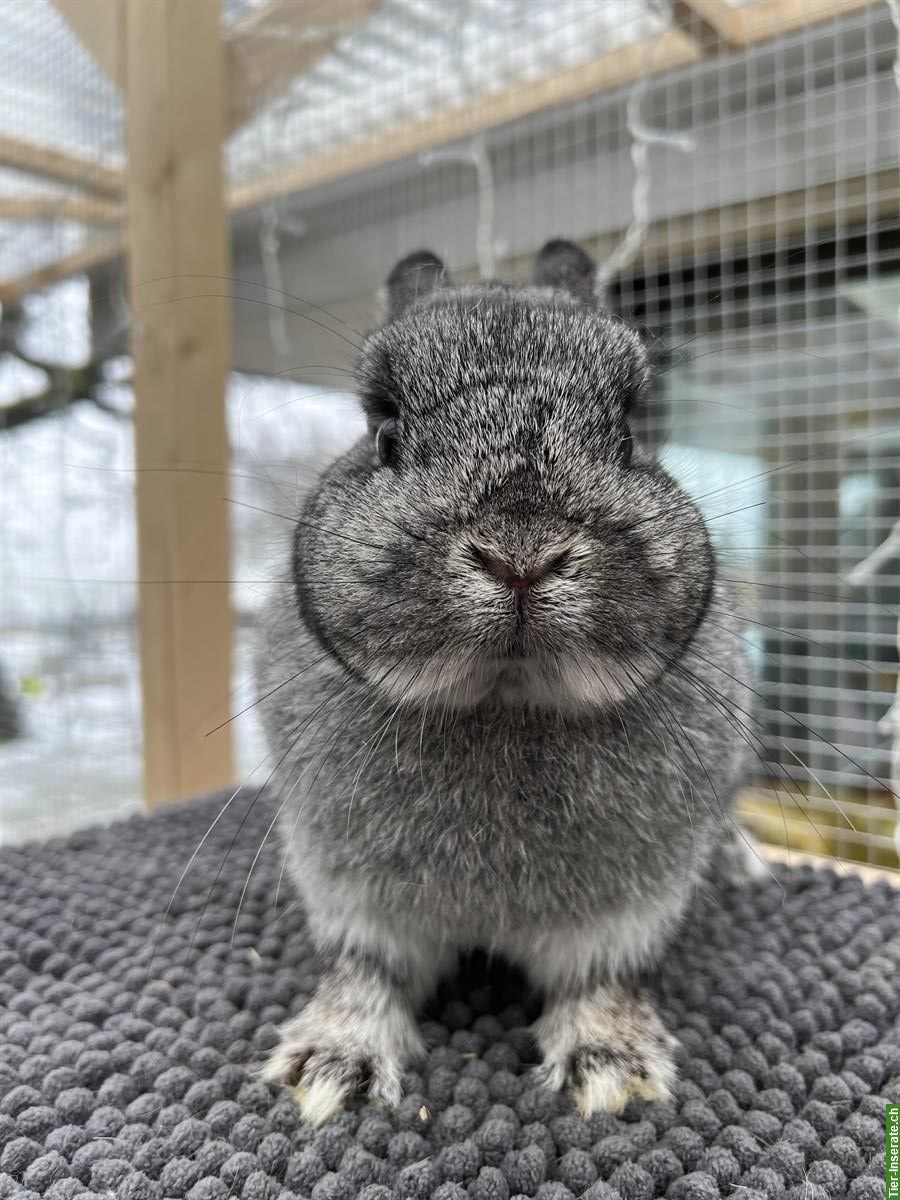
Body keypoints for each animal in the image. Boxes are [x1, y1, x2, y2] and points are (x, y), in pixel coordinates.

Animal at [254, 236, 763, 1123]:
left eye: (628, 437)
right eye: (385, 432)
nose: (520, 553)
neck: (507, 701)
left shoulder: (629, 914)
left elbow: (603, 982)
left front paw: (612, 1070)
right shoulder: (351, 899)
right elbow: (361, 974)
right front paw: (330, 1070)